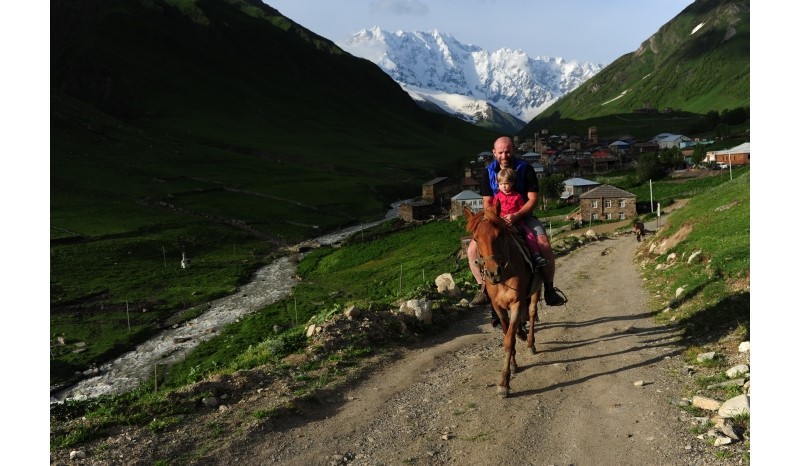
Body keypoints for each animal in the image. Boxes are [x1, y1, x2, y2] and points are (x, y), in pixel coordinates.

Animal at [462, 204, 544, 396]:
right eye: (476, 238)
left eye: (499, 235)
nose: (493, 273)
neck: (506, 276)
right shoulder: (498, 307)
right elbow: (507, 332)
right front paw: (513, 364)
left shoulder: (516, 303)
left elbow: (509, 339)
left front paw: (504, 383)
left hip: (536, 291)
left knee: (531, 312)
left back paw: (530, 342)